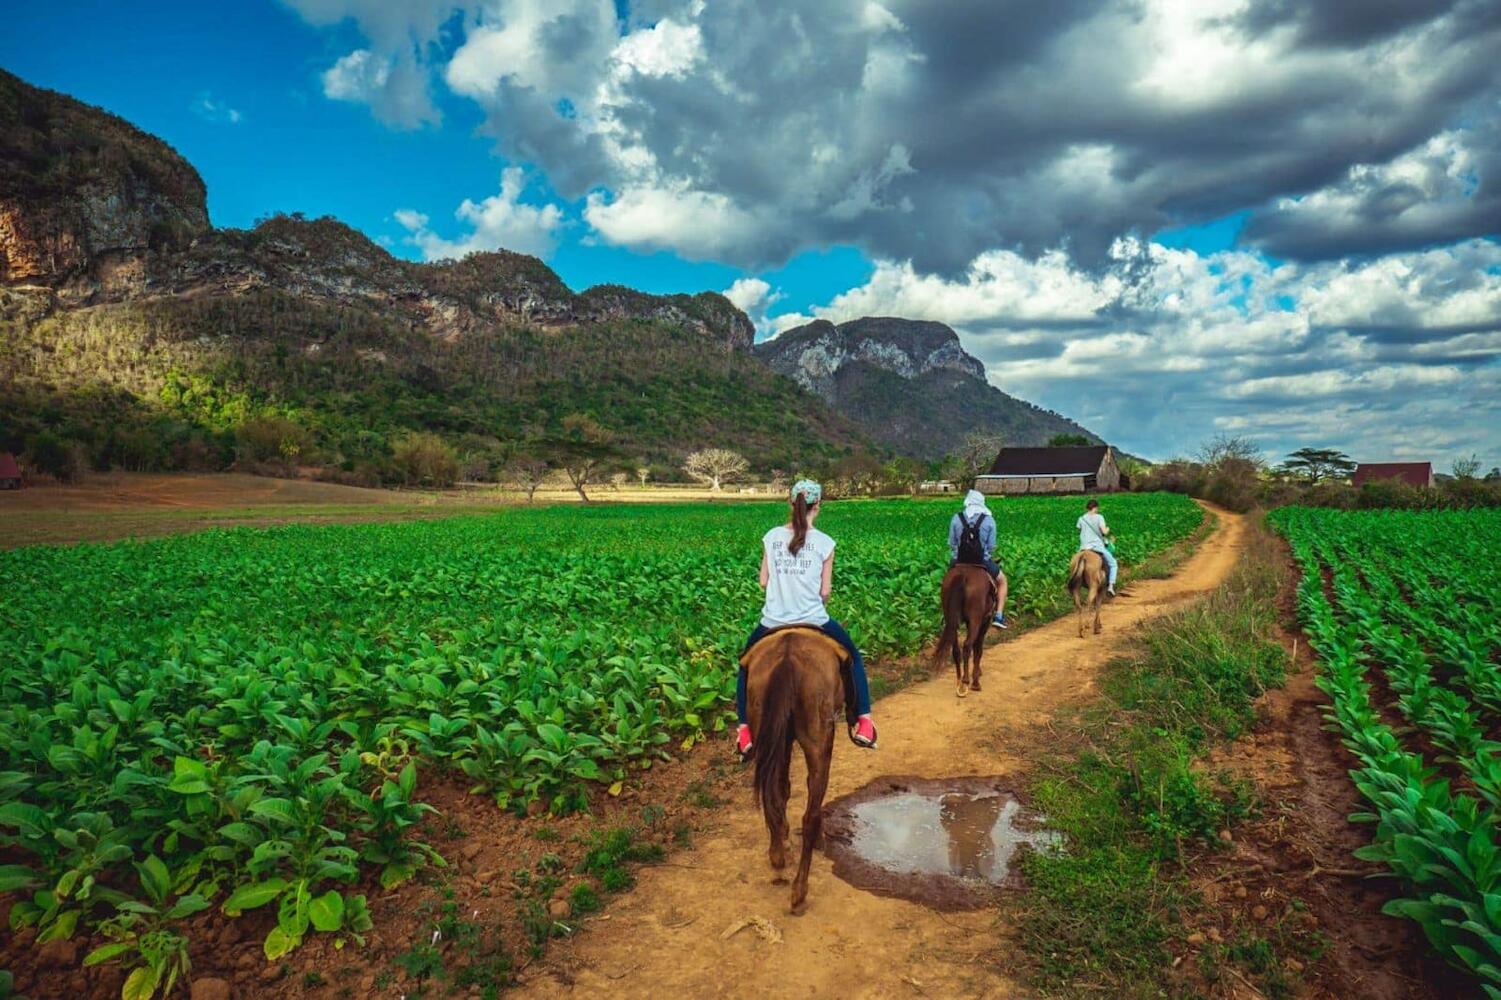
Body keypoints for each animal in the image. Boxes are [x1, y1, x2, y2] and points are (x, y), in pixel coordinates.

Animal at [741, 627, 852, 912]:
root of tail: (787, 659)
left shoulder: (782, 737)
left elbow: (782, 789)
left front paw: (782, 836)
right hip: (818, 735)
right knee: (810, 815)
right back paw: (799, 890)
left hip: (766, 726)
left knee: (771, 793)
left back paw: (777, 855)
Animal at [924, 564, 996, 696]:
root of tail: (962, 576)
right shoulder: (984, 621)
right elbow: (978, 649)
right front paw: (976, 677)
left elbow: (976, 648)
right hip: (975, 619)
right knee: (967, 645)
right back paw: (969, 681)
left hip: (950, 618)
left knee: (956, 650)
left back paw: (960, 681)